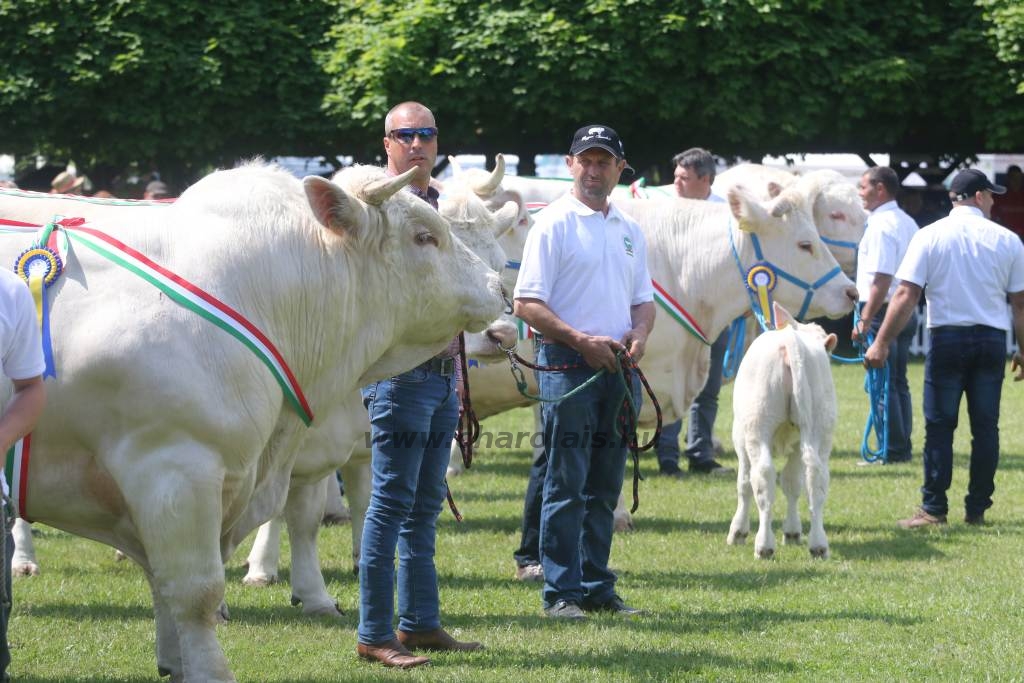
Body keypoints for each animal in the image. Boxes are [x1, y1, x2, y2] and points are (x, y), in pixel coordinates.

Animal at [0, 162, 499, 679]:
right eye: (424, 236)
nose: (498, 287)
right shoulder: (172, 468)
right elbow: (195, 588)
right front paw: (211, 667)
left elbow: (171, 579)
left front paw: (176, 661)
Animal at [724, 305, 835, 561]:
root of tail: (790, 340)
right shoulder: (796, 445)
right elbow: (792, 483)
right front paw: (792, 532)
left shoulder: (740, 439)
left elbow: (744, 483)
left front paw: (738, 531)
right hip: (819, 428)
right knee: (816, 479)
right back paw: (818, 544)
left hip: (757, 426)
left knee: (762, 477)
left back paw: (763, 545)